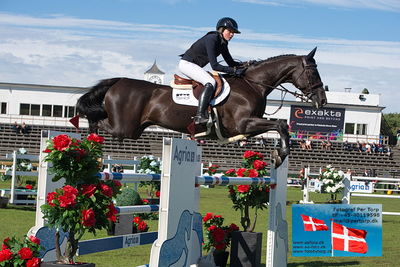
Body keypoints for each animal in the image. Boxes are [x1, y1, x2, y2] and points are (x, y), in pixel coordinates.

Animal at [76, 47, 326, 166]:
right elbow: (282, 124)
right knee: (96, 120)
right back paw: (89, 142)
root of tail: (117, 81)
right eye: (313, 72)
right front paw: (281, 154)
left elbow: (279, 125)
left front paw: (278, 154)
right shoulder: (243, 124)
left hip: (135, 129)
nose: (322, 100)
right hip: (125, 128)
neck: (253, 84)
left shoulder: (246, 128)